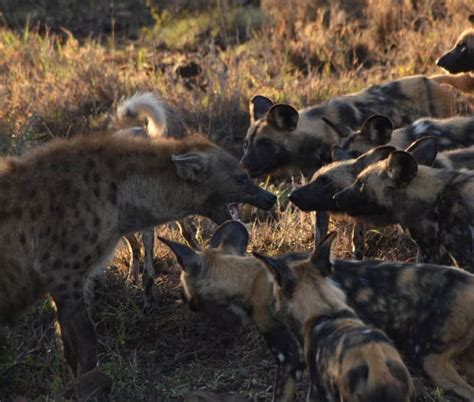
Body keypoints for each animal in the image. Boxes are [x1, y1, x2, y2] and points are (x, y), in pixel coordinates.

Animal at [0, 134, 276, 396]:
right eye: (241, 178)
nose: (271, 197)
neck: (117, 197)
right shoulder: (62, 271)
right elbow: (86, 337)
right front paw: (88, 384)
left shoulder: (66, 279)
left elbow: (67, 339)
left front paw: (74, 379)